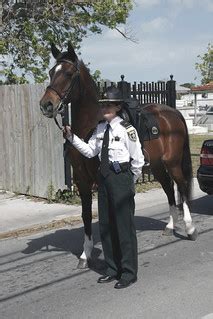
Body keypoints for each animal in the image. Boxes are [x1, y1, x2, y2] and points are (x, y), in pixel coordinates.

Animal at [39, 42, 198, 270]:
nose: (47, 105)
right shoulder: (82, 181)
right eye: (52, 72)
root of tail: (173, 112)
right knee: (169, 189)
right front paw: (85, 255)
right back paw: (169, 226)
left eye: (69, 73)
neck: (91, 126)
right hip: (157, 166)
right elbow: (86, 215)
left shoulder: (100, 180)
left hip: (173, 163)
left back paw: (190, 228)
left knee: (182, 188)